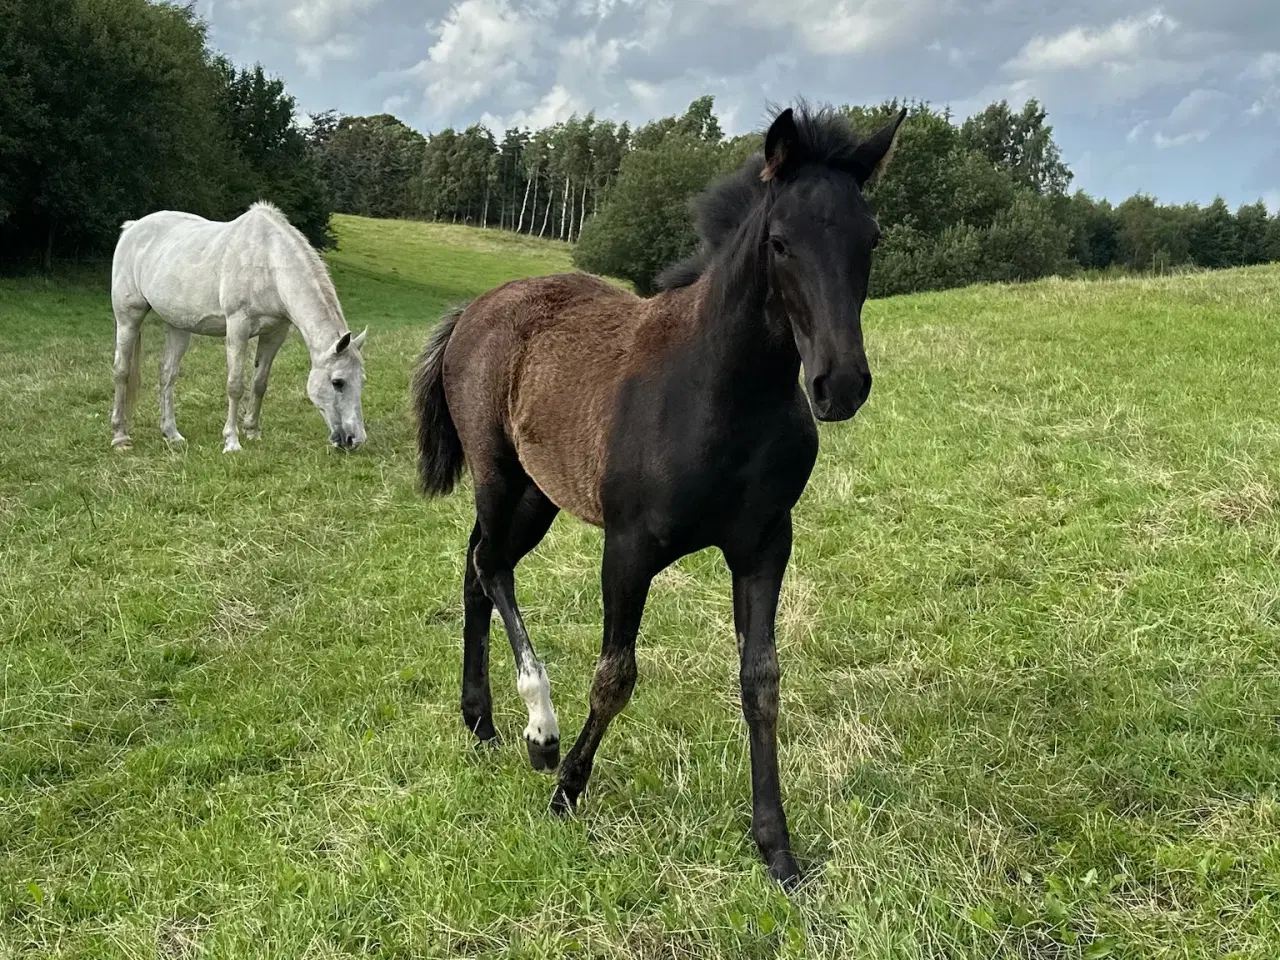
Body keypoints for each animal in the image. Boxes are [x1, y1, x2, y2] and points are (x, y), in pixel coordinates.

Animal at [109, 199, 371, 455]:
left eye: (361, 380)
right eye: (338, 382)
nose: (355, 440)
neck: (268, 261)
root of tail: (131, 228)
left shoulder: (275, 333)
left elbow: (259, 382)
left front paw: (252, 431)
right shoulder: (238, 327)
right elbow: (235, 385)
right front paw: (232, 442)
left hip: (178, 326)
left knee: (167, 375)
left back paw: (172, 434)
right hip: (128, 318)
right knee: (122, 371)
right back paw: (120, 436)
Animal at [414, 103, 906, 885]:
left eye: (871, 238)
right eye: (780, 242)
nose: (840, 385)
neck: (720, 396)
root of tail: (473, 310)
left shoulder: (765, 545)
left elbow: (761, 682)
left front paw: (776, 847)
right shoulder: (629, 548)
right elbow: (615, 675)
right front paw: (567, 790)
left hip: (539, 494)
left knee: (476, 567)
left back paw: (483, 721)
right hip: (500, 475)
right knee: (489, 567)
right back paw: (537, 731)